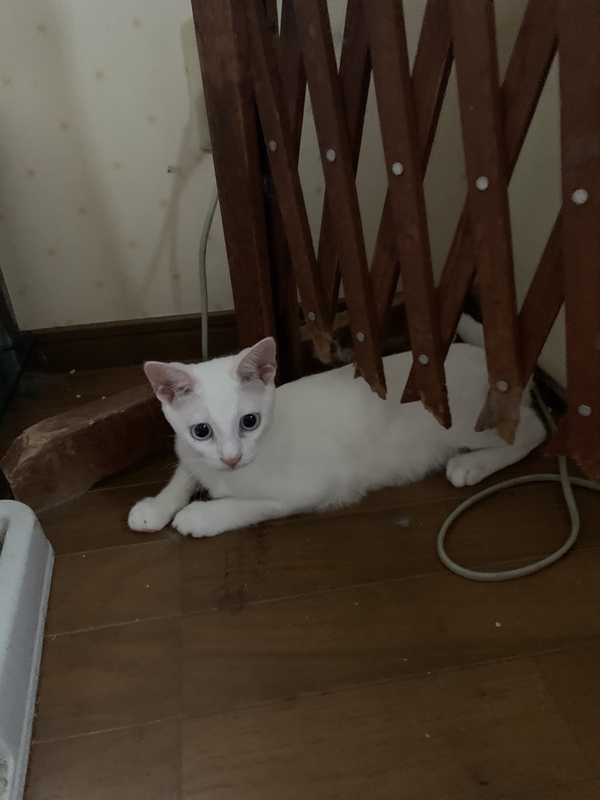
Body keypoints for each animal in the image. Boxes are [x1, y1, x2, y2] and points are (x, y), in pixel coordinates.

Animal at [128, 315, 546, 538]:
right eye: (201, 431)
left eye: (249, 421)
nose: (231, 458)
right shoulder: (190, 453)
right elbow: (184, 473)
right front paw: (156, 507)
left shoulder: (311, 486)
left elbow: (245, 505)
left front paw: (201, 516)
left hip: (467, 424)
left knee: (535, 430)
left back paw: (472, 464)